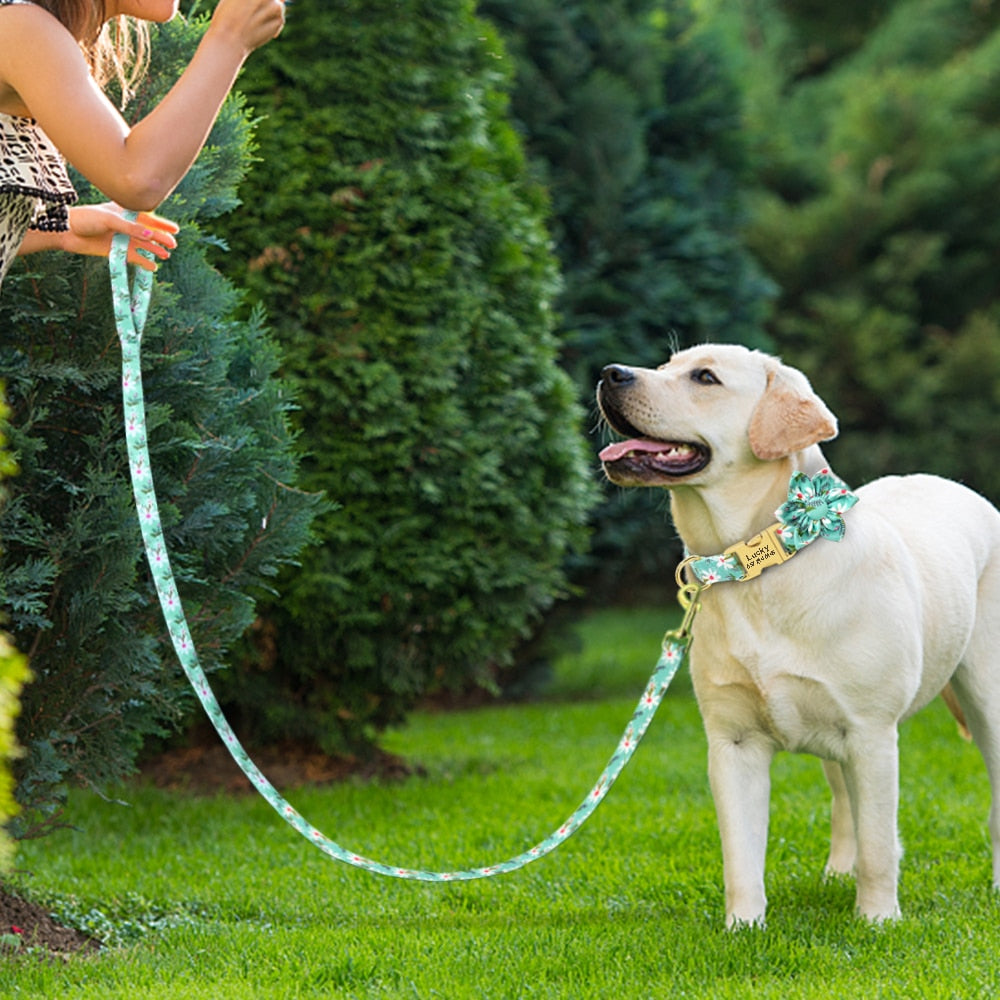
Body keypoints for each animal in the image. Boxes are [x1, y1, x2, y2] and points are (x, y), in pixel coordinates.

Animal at [596, 346, 1000, 928]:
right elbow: (741, 854)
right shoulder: (733, 742)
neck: (757, 562)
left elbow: (880, 845)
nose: (610, 374)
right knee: (843, 800)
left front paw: (878, 921)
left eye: (705, 377)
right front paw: (743, 928)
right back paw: (836, 873)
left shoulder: (872, 733)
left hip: (987, 696)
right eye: (666, 364)